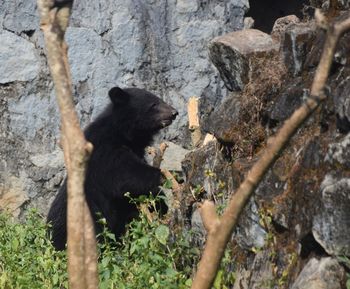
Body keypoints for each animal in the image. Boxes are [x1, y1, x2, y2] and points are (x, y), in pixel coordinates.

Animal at [47, 86, 178, 249]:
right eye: (153, 104)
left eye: (160, 99)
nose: (174, 113)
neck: (124, 134)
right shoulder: (104, 151)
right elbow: (124, 175)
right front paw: (165, 176)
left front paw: (160, 204)